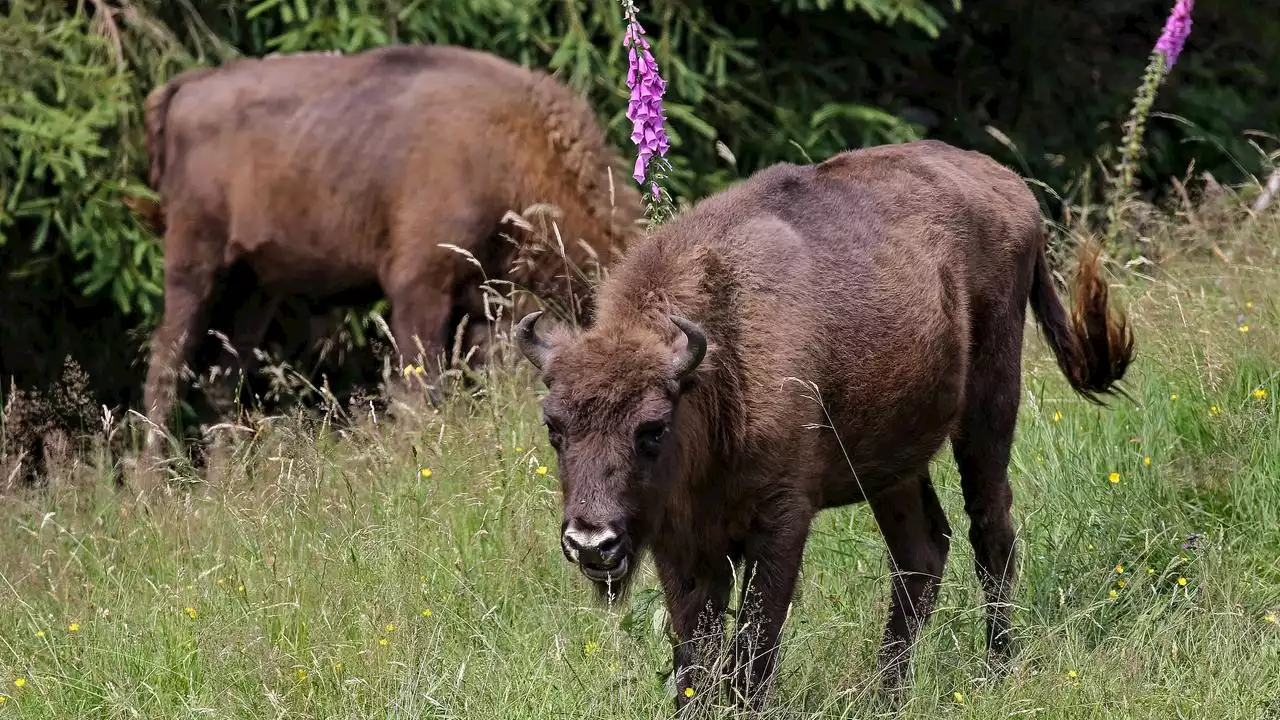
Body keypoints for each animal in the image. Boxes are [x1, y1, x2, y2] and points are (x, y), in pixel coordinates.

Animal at [132, 43, 640, 458]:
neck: (508, 148)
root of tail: (185, 87)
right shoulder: (420, 286)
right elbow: (418, 390)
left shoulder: (486, 306)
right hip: (194, 264)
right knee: (164, 371)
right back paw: (152, 490)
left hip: (255, 288)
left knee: (222, 383)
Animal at [509, 139, 1131, 707]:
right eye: (555, 428)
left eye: (652, 428)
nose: (591, 542)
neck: (717, 366)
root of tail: (1013, 188)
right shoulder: (681, 542)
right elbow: (696, 657)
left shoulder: (782, 523)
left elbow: (753, 648)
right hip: (891, 469)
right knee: (922, 553)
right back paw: (885, 695)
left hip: (989, 408)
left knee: (990, 530)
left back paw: (995, 670)